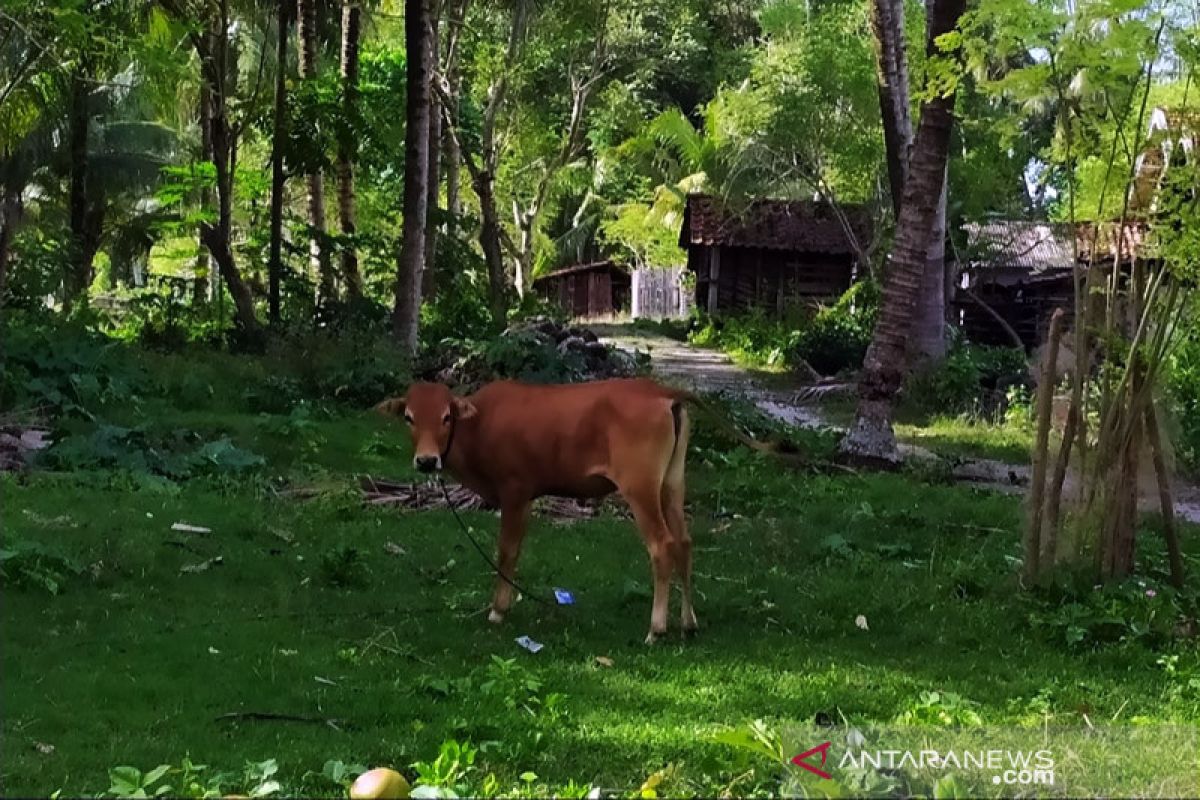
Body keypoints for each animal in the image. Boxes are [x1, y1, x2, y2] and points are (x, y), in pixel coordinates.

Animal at [374, 379, 696, 647]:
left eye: (446, 417)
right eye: (409, 417)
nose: (427, 461)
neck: (479, 426)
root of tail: (663, 392)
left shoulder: (514, 489)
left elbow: (506, 550)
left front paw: (497, 610)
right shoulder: (525, 496)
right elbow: (515, 549)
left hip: (639, 486)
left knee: (662, 546)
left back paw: (656, 629)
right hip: (672, 483)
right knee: (684, 542)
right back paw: (688, 623)